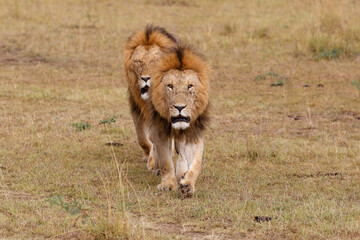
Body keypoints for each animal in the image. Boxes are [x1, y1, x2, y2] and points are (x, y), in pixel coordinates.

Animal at [124, 24, 179, 165]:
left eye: (155, 61)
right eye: (138, 61)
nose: (145, 78)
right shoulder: (137, 108)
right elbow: (142, 138)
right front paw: (147, 155)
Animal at [149, 43, 211, 197]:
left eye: (190, 86)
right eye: (170, 86)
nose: (180, 107)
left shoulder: (194, 131)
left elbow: (197, 163)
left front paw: (187, 185)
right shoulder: (159, 130)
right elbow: (165, 161)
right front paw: (168, 185)